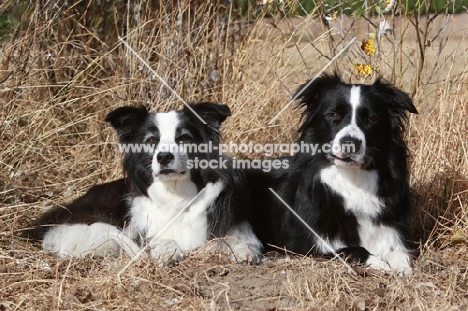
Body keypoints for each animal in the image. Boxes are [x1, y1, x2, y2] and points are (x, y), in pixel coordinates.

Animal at [27, 103, 264, 266]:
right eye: (151, 141)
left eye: (185, 138)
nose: (164, 157)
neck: (175, 193)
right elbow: (158, 238)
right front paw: (167, 250)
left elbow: (237, 237)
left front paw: (243, 249)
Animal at [252, 73, 416, 276]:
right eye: (334, 115)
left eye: (371, 120)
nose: (350, 143)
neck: (352, 178)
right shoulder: (303, 246)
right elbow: (354, 249)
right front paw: (380, 263)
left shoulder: (391, 232)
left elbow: (399, 251)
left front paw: (402, 267)